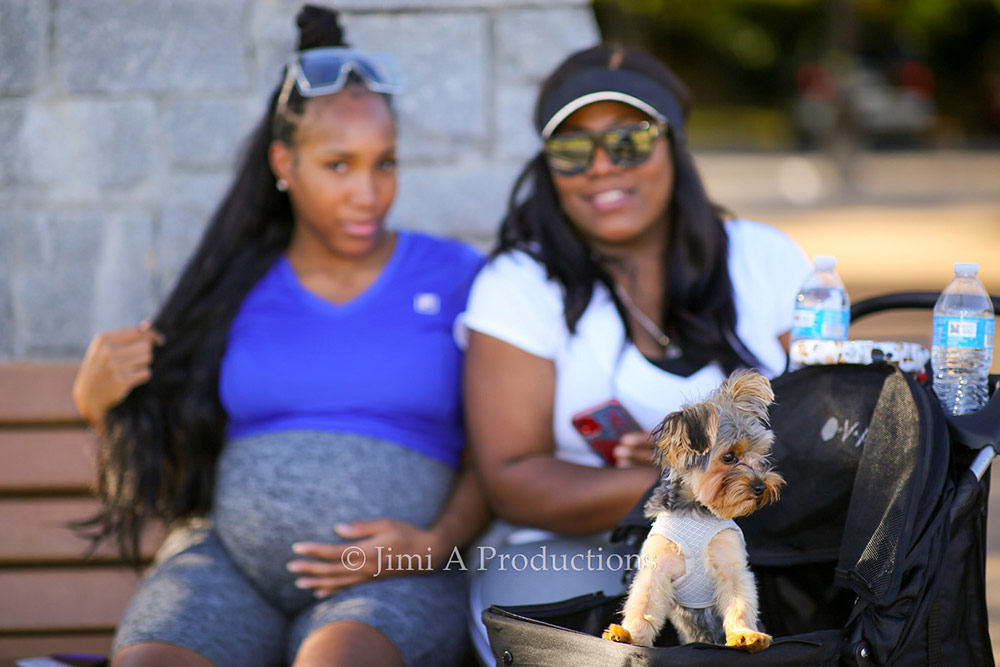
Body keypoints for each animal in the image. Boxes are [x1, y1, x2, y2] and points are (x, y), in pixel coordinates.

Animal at [600, 370, 780, 652]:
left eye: (759, 454)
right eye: (728, 457)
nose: (761, 486)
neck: (696, 509)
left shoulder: (731, 566)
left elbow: (739, 603)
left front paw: (746, 635)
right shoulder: (657, 567)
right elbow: (643, 605)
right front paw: (629, 636)